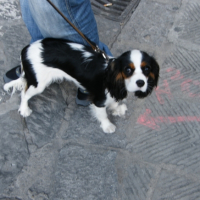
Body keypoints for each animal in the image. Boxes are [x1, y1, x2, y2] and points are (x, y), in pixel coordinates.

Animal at [3, 38, 159, 134]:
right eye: (127, 70)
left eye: (147, 69)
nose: (141, 82)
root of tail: (27, 48)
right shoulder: (98, 100)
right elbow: (102, 114)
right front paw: (107, 126)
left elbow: (114, 102)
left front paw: (117, 109)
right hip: (39, 83)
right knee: (24, 93)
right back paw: (24, 109)